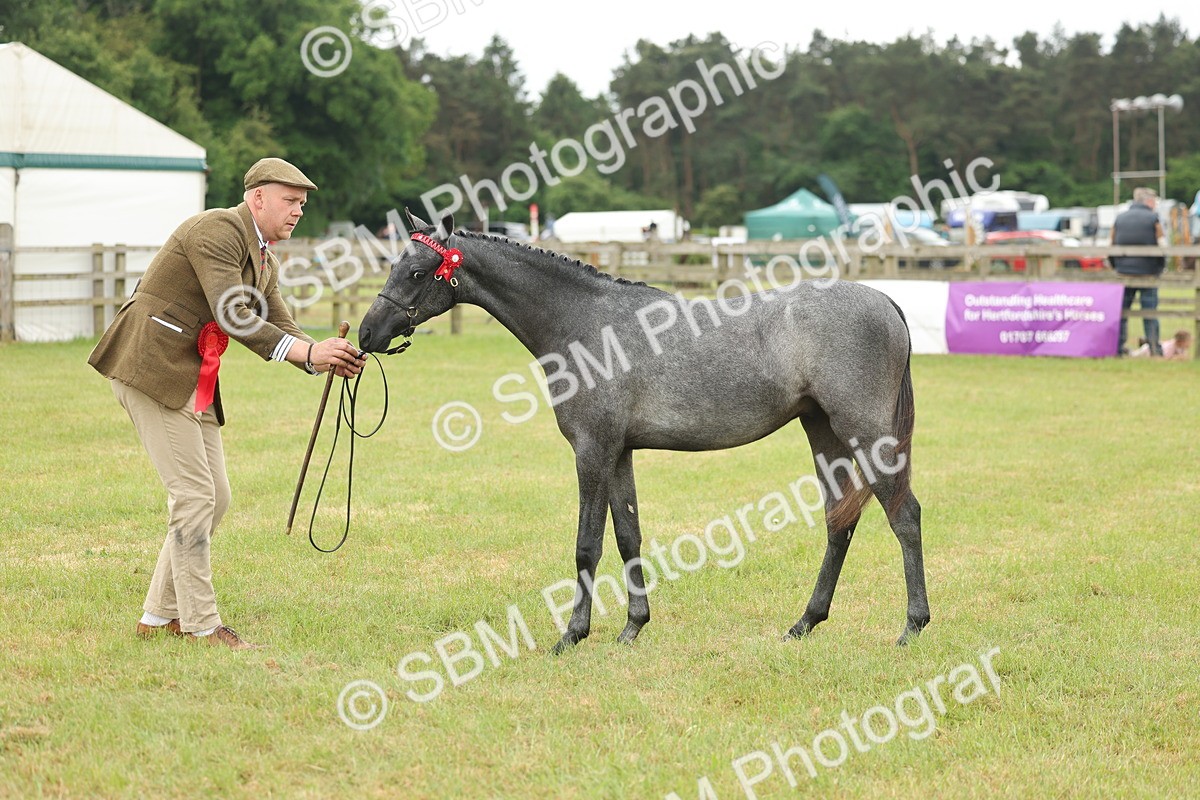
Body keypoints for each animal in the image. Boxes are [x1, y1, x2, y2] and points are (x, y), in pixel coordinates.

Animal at [358, 210, 929, 653]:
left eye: (416, 271)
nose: (367, 334)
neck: (584, 323)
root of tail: (886, 302)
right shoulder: (620, 452)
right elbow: (628, 534)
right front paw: (633, 626)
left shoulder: (592, 450)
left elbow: (588, 545)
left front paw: (572, 635)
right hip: (823, 433)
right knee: (840, 521)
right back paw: (805, 622)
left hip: (865, 435)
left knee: (904, 515)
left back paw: (912, 627)